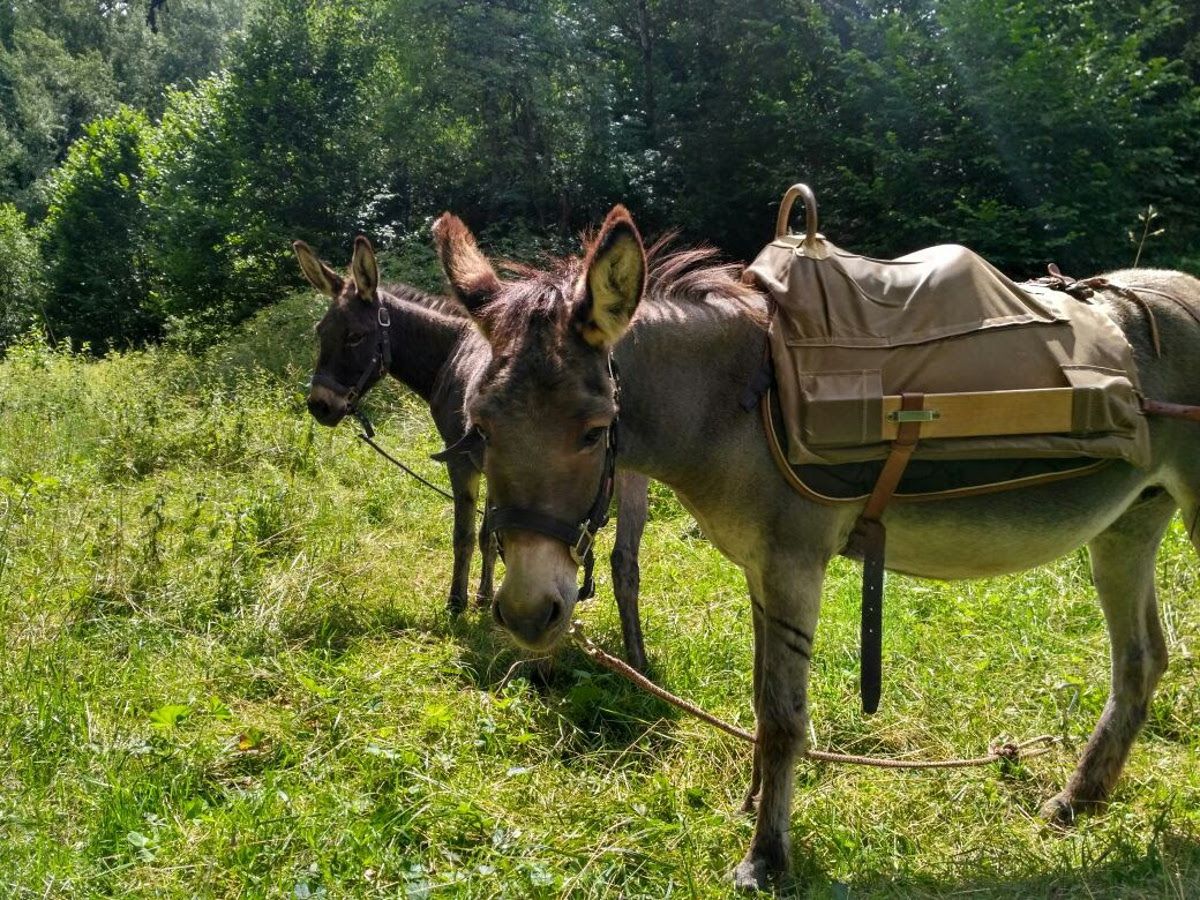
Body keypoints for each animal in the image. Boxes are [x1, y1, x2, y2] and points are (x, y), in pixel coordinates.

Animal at [294, 236, 653, 667]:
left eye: (355, 337)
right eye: (320, 332)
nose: (320, 406)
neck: (449, 352)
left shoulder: (463, 461)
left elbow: (465, 534)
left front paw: (458, 602)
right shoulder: (496, 467)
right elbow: (488, 533)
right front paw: (484, 595)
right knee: (625, 558)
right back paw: (636, 657)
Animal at [430, 205, 1200, 891]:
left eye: (594, 431)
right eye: (481, 426)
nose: (527, 615)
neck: (740, 403)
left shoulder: (794, 565)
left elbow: (782, 716)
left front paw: (765, 858)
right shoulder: (758, 570)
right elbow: (758, 692)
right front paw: (750, 805)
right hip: (1129, 522)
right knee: (1141, 659)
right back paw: (1079, 801)